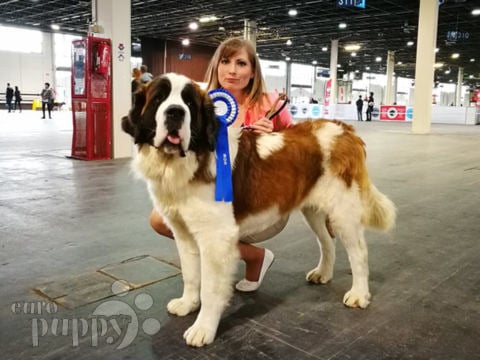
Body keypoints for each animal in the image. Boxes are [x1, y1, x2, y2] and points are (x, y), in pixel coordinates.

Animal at [122, 72, 396, 346]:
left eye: (189, 103)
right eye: (158, 99)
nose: (176, 112)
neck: (188, 160)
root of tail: (345, 129)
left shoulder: (216, 238)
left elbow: (210, 287)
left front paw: (203, 329)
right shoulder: (183, 232)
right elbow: (190, 274)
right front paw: (187, 304)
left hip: (343, 211)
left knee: (358, 252)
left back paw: (359, 294)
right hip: (313, 210)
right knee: (327, 242)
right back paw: (323, 273)